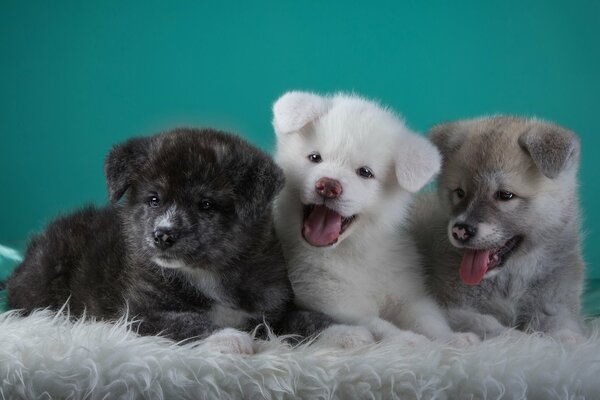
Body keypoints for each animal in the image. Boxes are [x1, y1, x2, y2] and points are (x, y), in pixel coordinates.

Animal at [274, 91, 478, 346]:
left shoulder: (408, 295)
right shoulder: (334, 304)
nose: (328, 186)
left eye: (365, 172)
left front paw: (451, 339)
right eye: (314, 157)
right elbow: (381, 326)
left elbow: (429, 320)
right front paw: (411, 341)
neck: (355, 251)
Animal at [410, 116, 584, 344]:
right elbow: (494, 327)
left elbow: (560, 324)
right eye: (460, 192)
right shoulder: (453, 308)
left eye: (505, 195)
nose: (460, 231)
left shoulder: (557, 307)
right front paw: (529, 340)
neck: (512, 279)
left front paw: (569, 338)